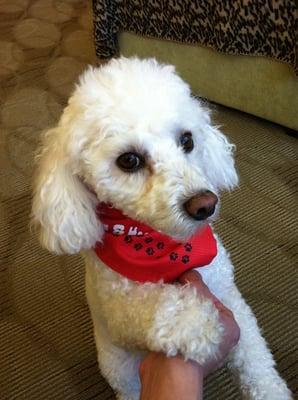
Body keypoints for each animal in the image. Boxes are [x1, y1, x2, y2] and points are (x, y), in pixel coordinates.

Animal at [31, 57, 292, 400]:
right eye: (129, 160)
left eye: (188, 140)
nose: (204, 204)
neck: (164, 246)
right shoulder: (118, 308)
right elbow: (154, 305)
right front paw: (198, 324)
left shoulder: (229, 294)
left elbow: (256, 359)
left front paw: (269, 389)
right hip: (119, 369)